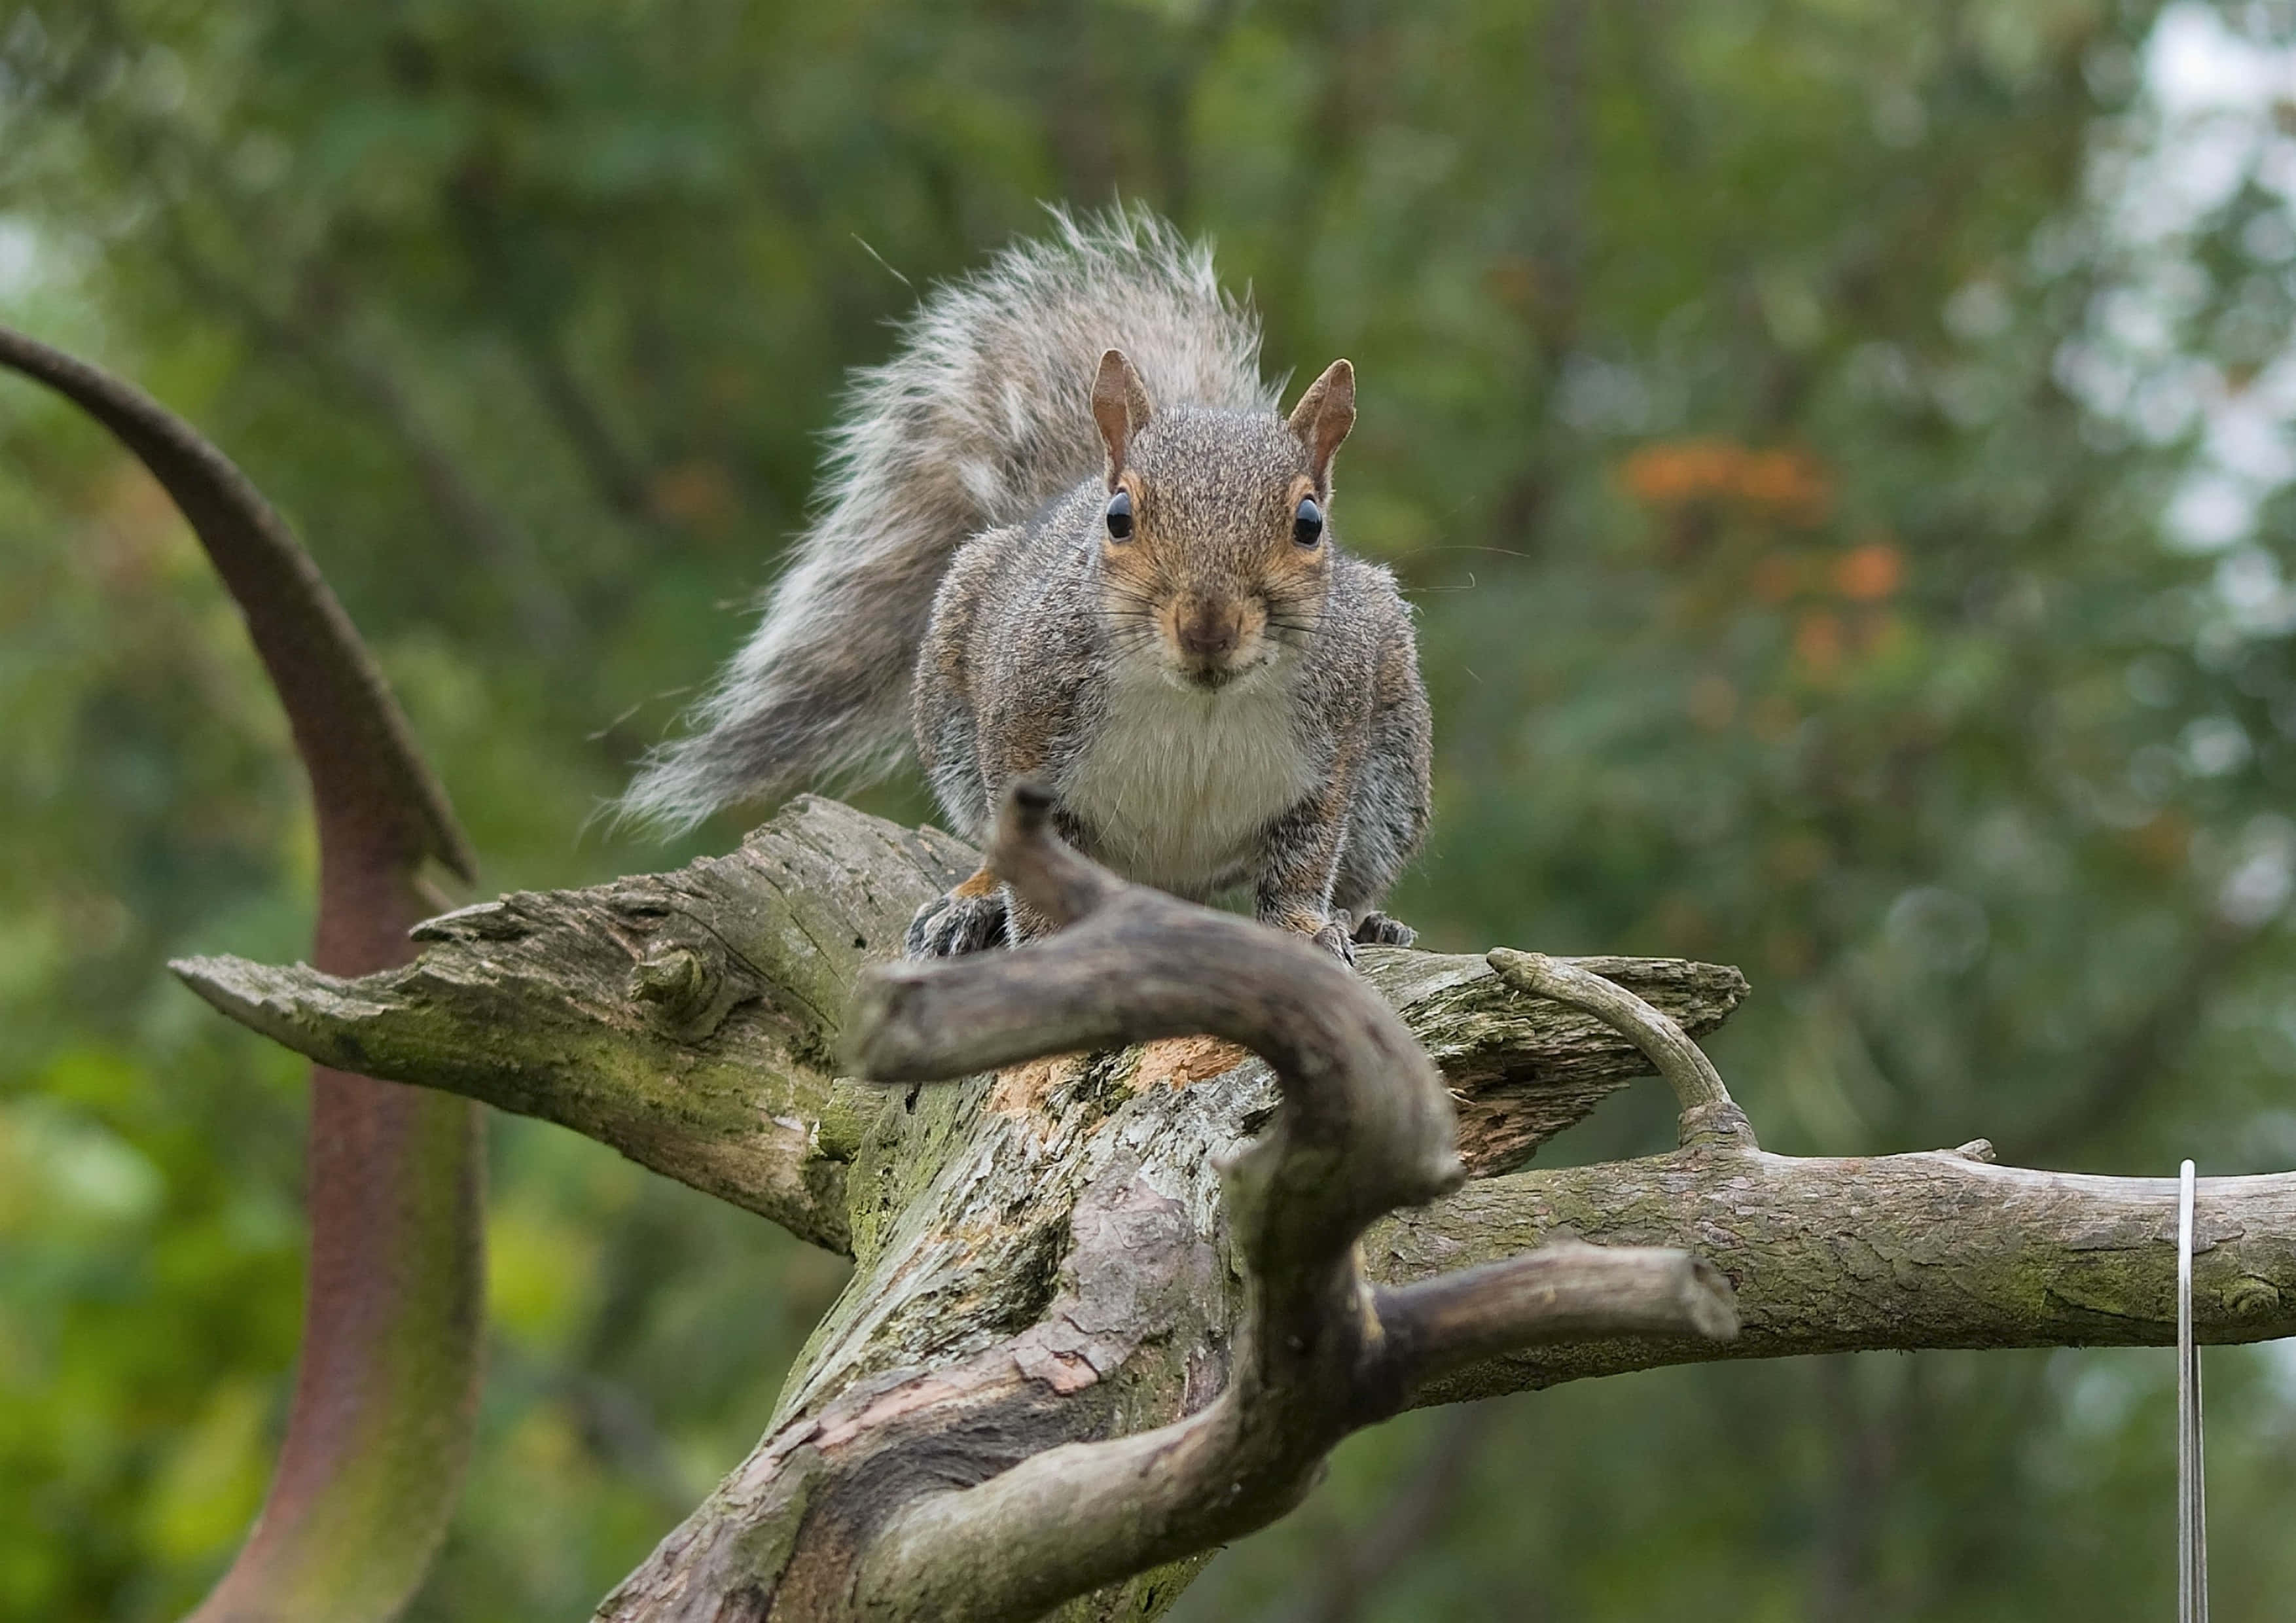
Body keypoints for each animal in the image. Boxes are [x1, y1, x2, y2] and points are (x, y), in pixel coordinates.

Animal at [624, 207, 1431, 963]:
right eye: (1119, 517)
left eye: (1309, 523)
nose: (1208, 627)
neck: (1197, 702)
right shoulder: (1022, 734)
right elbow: (1033, 865)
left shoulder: (1333, 754)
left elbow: (1301, 865)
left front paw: (1305, 928)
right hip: (954, 705)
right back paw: (970, 901)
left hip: (1391, 768)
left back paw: (1372, 920)